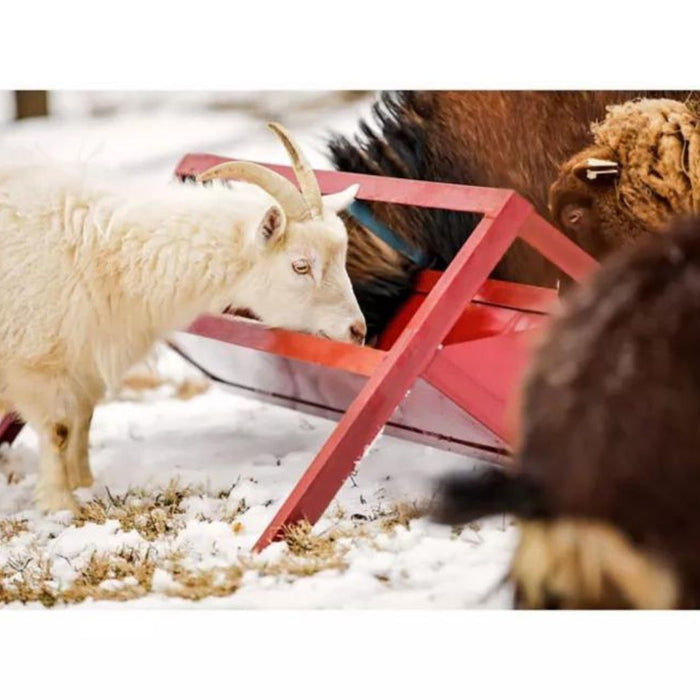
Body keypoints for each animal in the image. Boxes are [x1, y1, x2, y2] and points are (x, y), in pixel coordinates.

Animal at [0, 123, 365, 515]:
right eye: (300, 266)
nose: (357, 330)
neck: (104, 253)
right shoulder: (36, 361)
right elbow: (59, 429)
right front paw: (61, 503)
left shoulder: (85, 358)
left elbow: (83, 419)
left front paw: (83, 483)